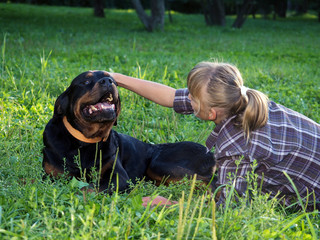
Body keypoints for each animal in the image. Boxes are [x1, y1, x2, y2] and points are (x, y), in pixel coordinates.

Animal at [42, 70, 216, 193]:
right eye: (85, 81)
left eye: (113, 81)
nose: (108, 81)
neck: (85, 142)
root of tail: (211, 154)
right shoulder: (52, 175)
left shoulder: (118, 177)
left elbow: (89, 188)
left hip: (158, 164)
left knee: (210, 181)